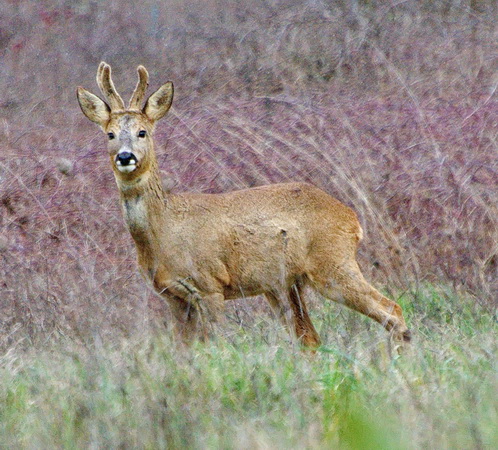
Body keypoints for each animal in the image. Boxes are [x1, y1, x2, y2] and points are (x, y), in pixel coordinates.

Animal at [79, 60, 412, 348]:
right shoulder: (173, 297)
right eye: (110, 134)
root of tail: (352, 219)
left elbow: (215, 347)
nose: (125, 157)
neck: (164, 229)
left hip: (333, 264)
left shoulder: (210, 286)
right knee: (311, 339)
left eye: (142, 132)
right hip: (288, 284)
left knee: (392, 310)